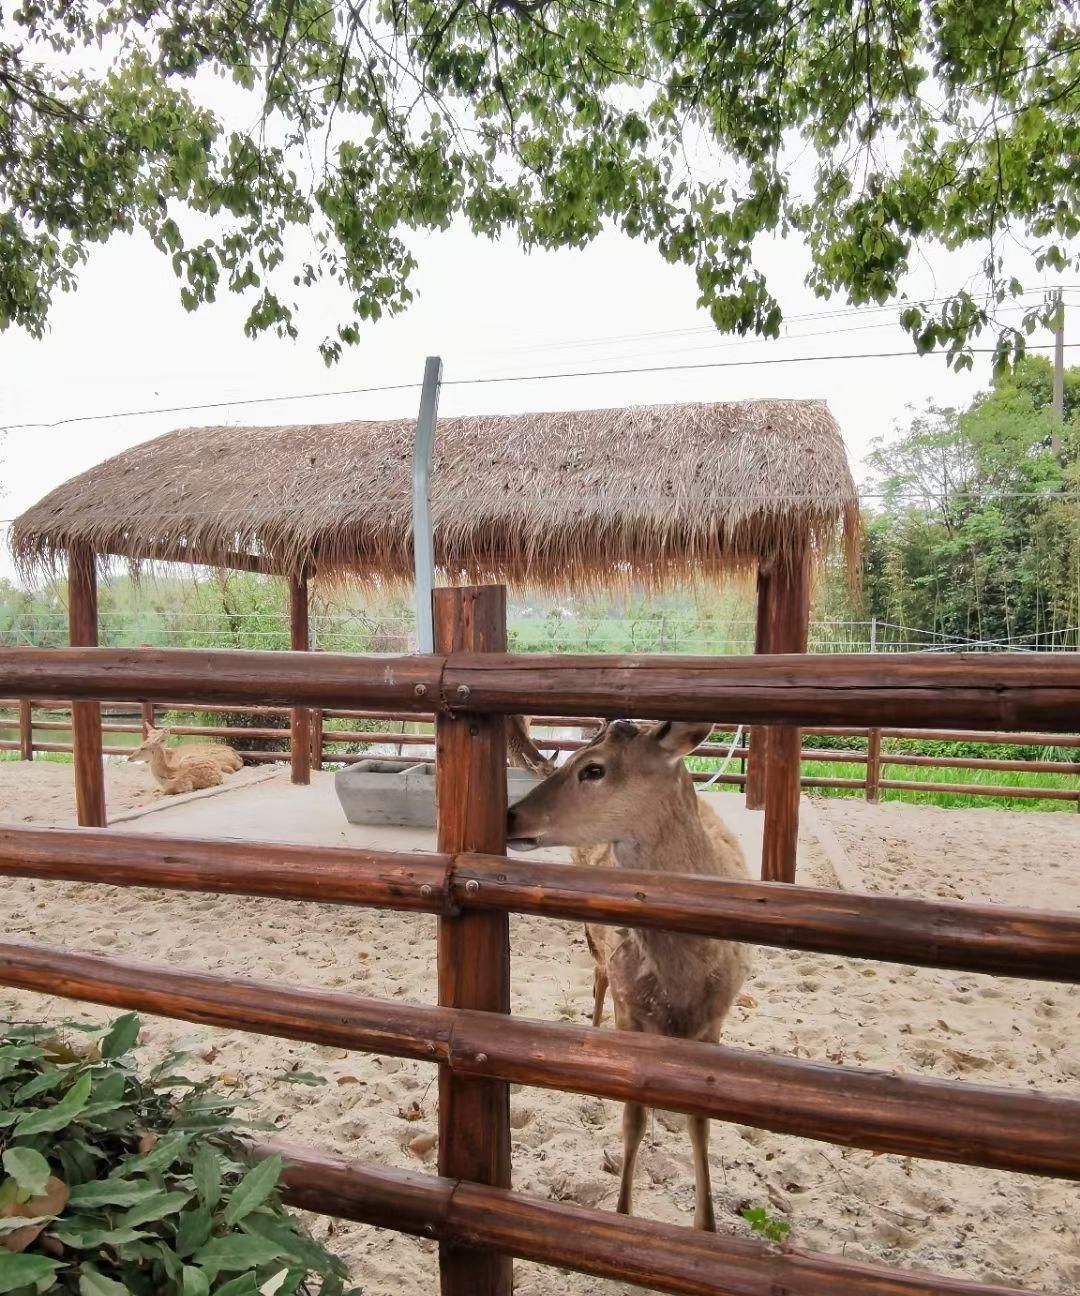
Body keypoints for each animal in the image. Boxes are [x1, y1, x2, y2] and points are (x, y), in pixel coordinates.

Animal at [505, 720, 751, 1233]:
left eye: (593, 769)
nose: (511, 816)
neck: (684, 978)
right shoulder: (631, 1008)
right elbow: (633, 1118)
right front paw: (622, 1211)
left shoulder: (715, 1019)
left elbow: (701, 1121)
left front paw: (706, 1225)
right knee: (597, 973)